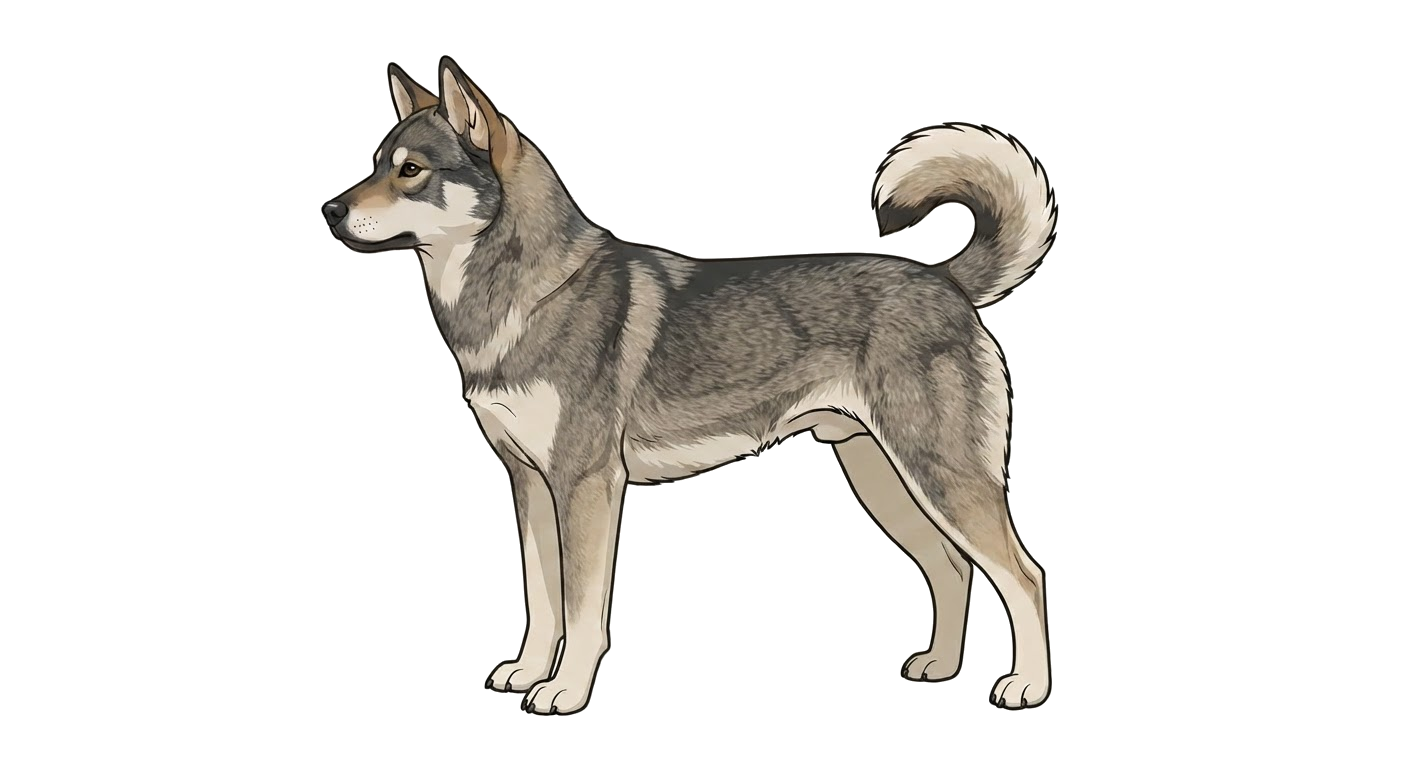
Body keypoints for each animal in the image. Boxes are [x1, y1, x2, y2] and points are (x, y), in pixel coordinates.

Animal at [322, 56, 1058, 715]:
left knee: (1025, 575)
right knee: (951, 566)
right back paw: (940, 666)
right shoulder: (529, 484)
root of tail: (945, 280)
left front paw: (564, 691)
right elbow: (541, 600)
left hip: (939, 475)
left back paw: (1027, 687)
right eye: (375, 163)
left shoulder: (586, 485)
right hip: (882, 477)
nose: (328, 209)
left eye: (410, 170)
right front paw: (528, 671)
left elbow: (583, 610)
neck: (526, 295)